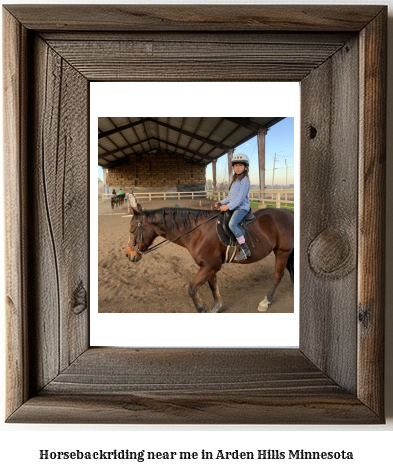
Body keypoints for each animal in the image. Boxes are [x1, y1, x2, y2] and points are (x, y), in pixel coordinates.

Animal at [124, 203, 292, 312]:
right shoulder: (209, 266)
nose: (129, 254)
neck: (197, 231)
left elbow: (192, 289)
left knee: (277, 276)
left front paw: (202, 308)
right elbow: (213, 287)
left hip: (282, 251)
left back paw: (266, 301)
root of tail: (289, 213)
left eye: (132, 230)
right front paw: (217, 307)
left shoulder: (210, 266)